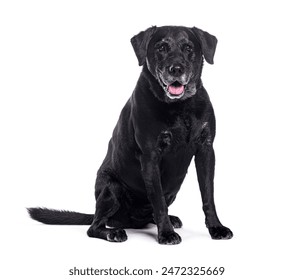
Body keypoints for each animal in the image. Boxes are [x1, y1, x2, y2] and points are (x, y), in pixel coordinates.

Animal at [28, 26, 233, 245]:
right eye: (161, 48)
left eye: (188, 48)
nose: (176, 69)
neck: (180, 106)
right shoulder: (150, 156)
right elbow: (158, 200)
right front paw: (166, 234)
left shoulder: (206, 151)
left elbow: (208, 195)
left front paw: (216, 227)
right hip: (112, 189)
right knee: (94, 227)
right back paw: (113, 232)